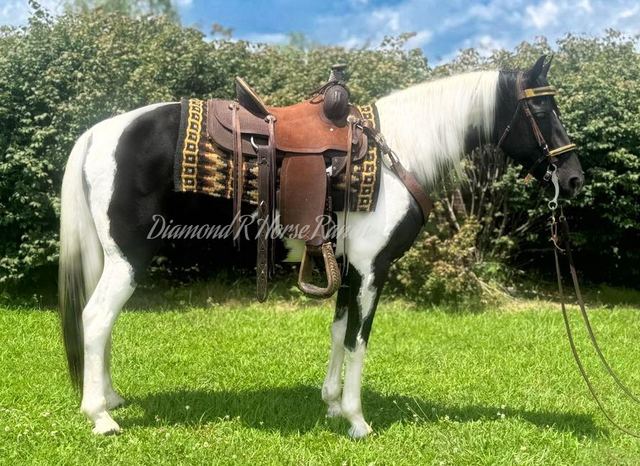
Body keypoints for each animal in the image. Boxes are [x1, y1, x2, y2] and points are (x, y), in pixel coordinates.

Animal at [58, 55, 584, 437]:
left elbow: (337, 332)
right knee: (96, 318)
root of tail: (97, 133)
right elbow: (358, 340)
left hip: (114, 260)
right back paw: (101, 416)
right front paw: (356, 420)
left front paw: (331, 404)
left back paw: (112, 398)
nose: (574, 177)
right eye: (542, 110)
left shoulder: (349, 267)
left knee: (103, 323)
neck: (397, 152)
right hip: (128, 258)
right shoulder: (373, 270)